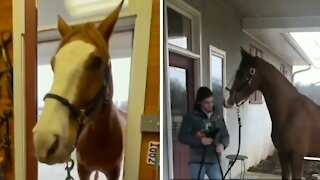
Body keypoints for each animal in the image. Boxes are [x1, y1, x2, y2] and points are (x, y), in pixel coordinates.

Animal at [32, 0, 125, 179]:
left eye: (97, 62)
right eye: (53, 64)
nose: (44, 140)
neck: (99, 138)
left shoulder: (114, 172)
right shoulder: (83, 170)